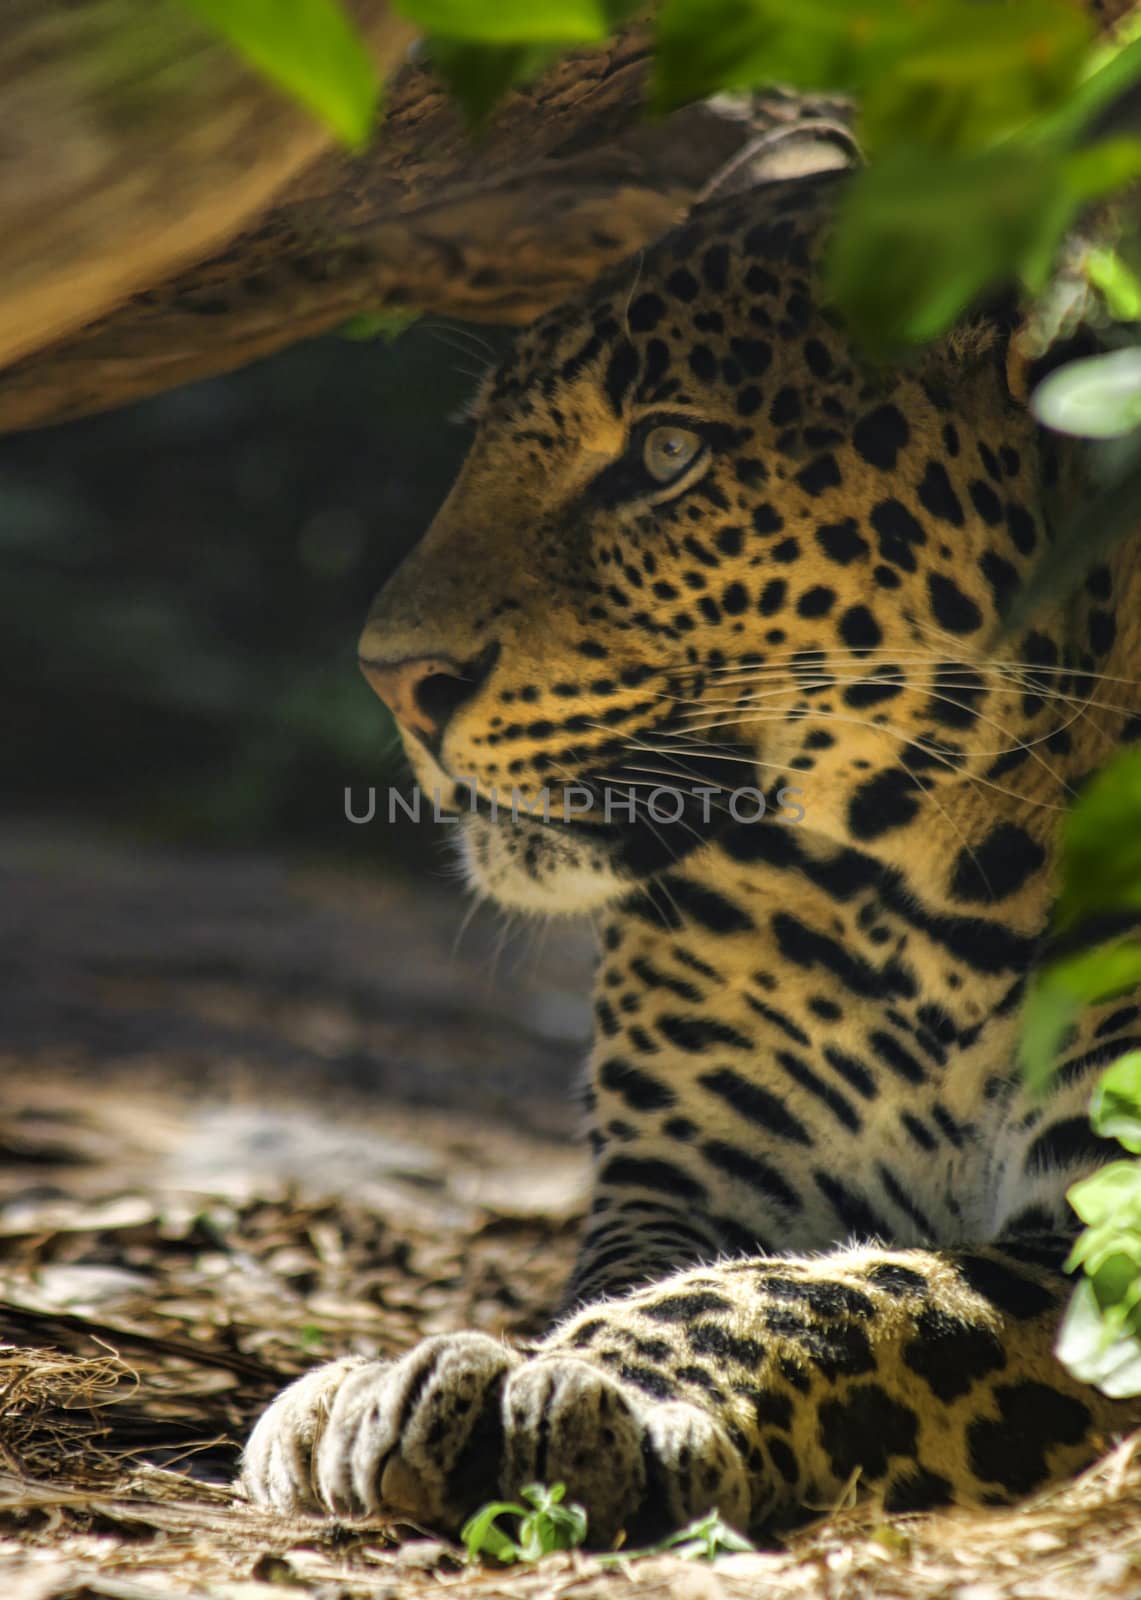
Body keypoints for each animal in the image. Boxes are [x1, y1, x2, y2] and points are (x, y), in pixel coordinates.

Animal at [240, 168, 1139, 1542]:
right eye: (482, 436)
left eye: (668, 455)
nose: (393, 677)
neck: (927, 890)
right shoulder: (689, 1177)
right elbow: (683, 1276)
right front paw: (399, 1376)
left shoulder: (1108, 1214)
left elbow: (837, 1293)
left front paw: (571, 1392)